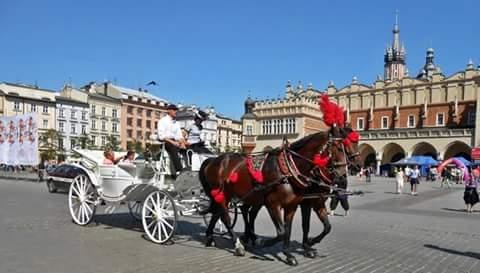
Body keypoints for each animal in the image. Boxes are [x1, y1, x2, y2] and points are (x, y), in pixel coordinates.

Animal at [198, 129, 348, 264]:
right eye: (337, 148)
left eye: (345, 149)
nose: (343, 175)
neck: (287, 171)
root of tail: (214, 160)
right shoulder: (274, 204)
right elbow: (283, 232)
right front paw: (263, 242)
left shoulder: (294, 206)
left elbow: (291, 229)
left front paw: (289, 254)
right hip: (224, 194)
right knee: (226, 217)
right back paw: (238, 244)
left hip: (242, 197)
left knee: (224, 212)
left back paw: (213, 237)